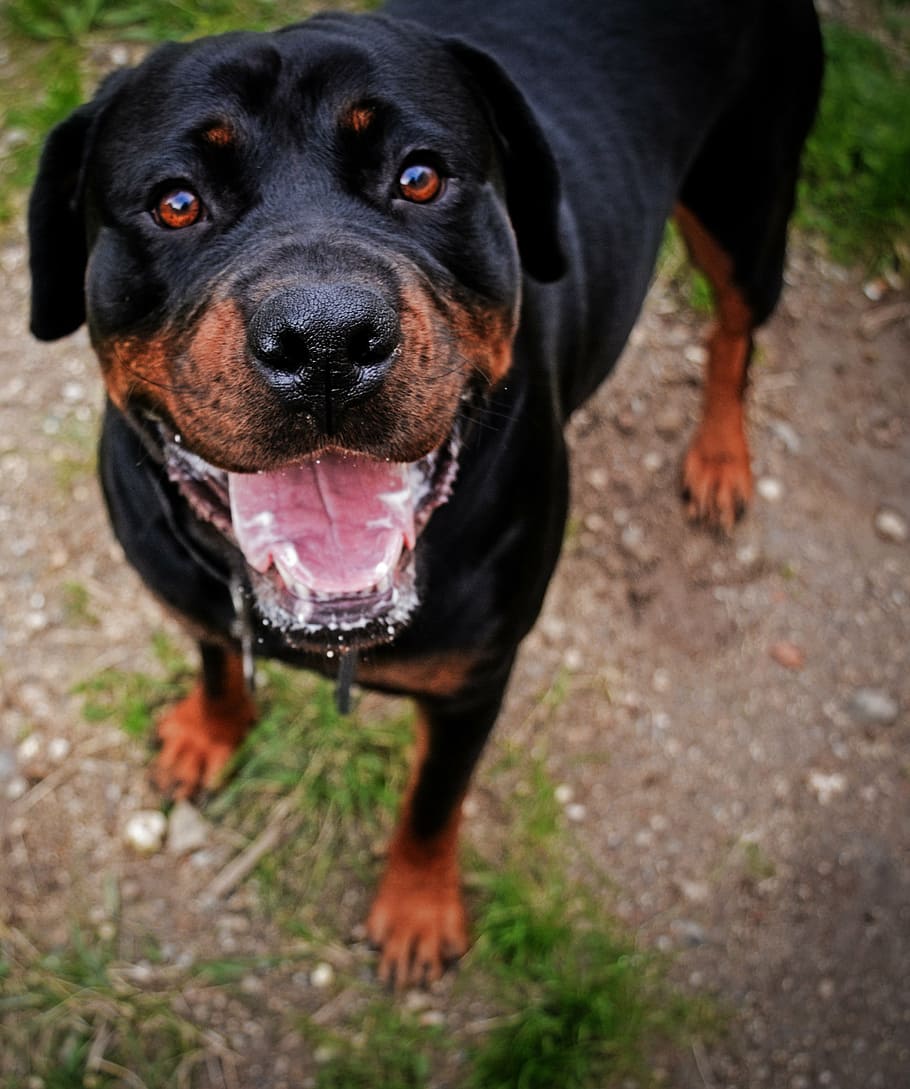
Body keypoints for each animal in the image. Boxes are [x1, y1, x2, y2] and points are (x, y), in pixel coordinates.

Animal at [28, 0, 822, 988]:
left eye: (420, 176)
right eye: (175, 202)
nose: (325, 338)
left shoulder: (473, 680)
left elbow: (433, 800)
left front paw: (415, 910)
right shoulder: (191, 591)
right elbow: (217, 656)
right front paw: (208, 732)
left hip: (747, 200)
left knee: (735, 330)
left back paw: (719, 457)